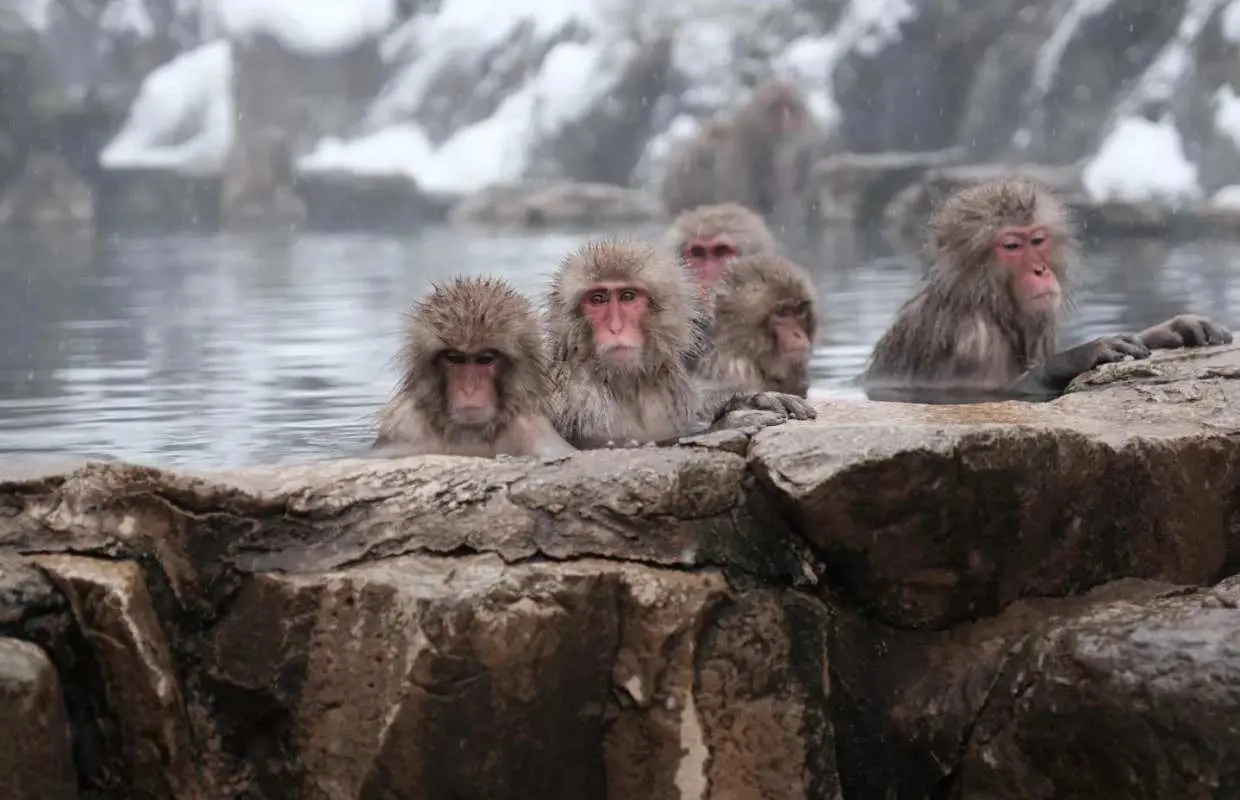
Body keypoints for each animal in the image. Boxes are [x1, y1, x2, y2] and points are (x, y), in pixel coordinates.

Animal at [859, 177, 1233, 404]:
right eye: (1011, 246)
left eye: (1038, 240)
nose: (1040, 270)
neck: (986, 301)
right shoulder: (971, 338)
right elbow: (990, 393)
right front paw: (1081, 354)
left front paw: (1169, 330)